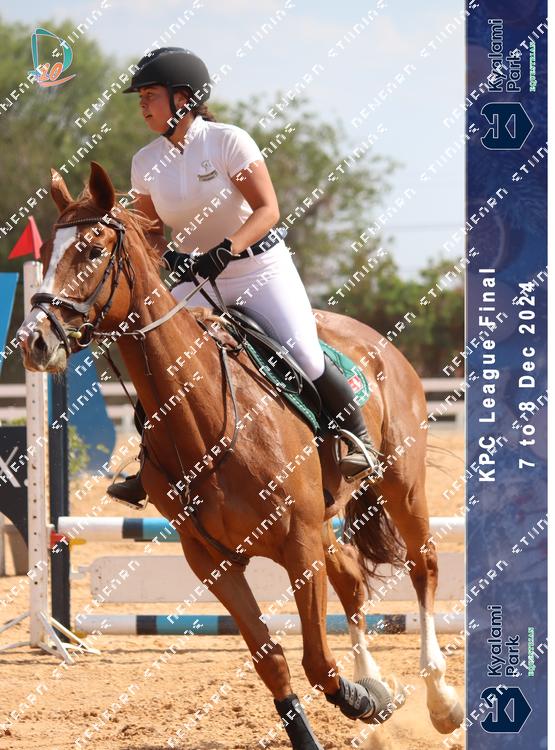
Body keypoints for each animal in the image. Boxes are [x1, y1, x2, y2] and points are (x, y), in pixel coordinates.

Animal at [18, 162, 463, 749]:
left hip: (400, 486)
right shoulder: (212, 558)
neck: (202, 416)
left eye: (91, 250)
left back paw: (440, 700)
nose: (34, 342)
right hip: (326, 514)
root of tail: (376, 340)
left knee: (422, 567)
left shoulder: (297, 541)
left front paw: (361, 700)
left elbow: (317, 660)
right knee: (349, 575)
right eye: (47, 253)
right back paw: (377, 681)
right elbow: (272, 660)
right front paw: (360, 701)